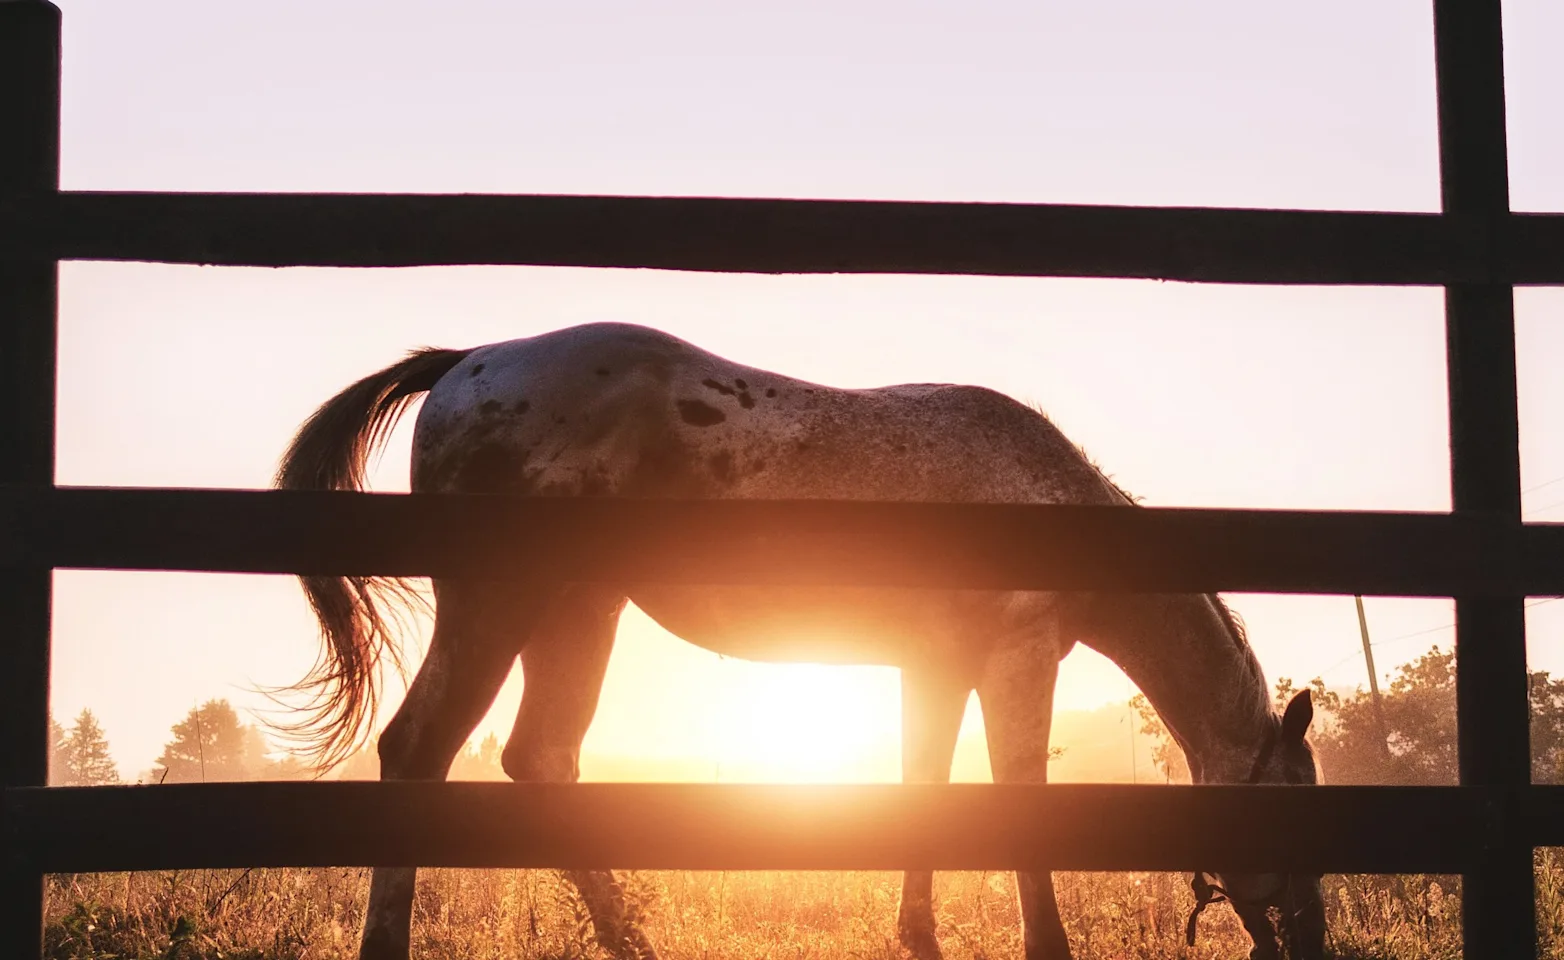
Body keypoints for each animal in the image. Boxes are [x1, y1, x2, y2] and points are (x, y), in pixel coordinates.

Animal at [275, 323, 1326, 960]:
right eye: (1292, 807)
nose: (1309, 937)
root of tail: (472, 362)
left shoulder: (934, 671)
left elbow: (925, 793)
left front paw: (918, 937)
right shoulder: (1015, 661)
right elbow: (1014, 802)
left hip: (577, 613)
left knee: (541, 759)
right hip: (497, 605)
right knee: (420, 750)